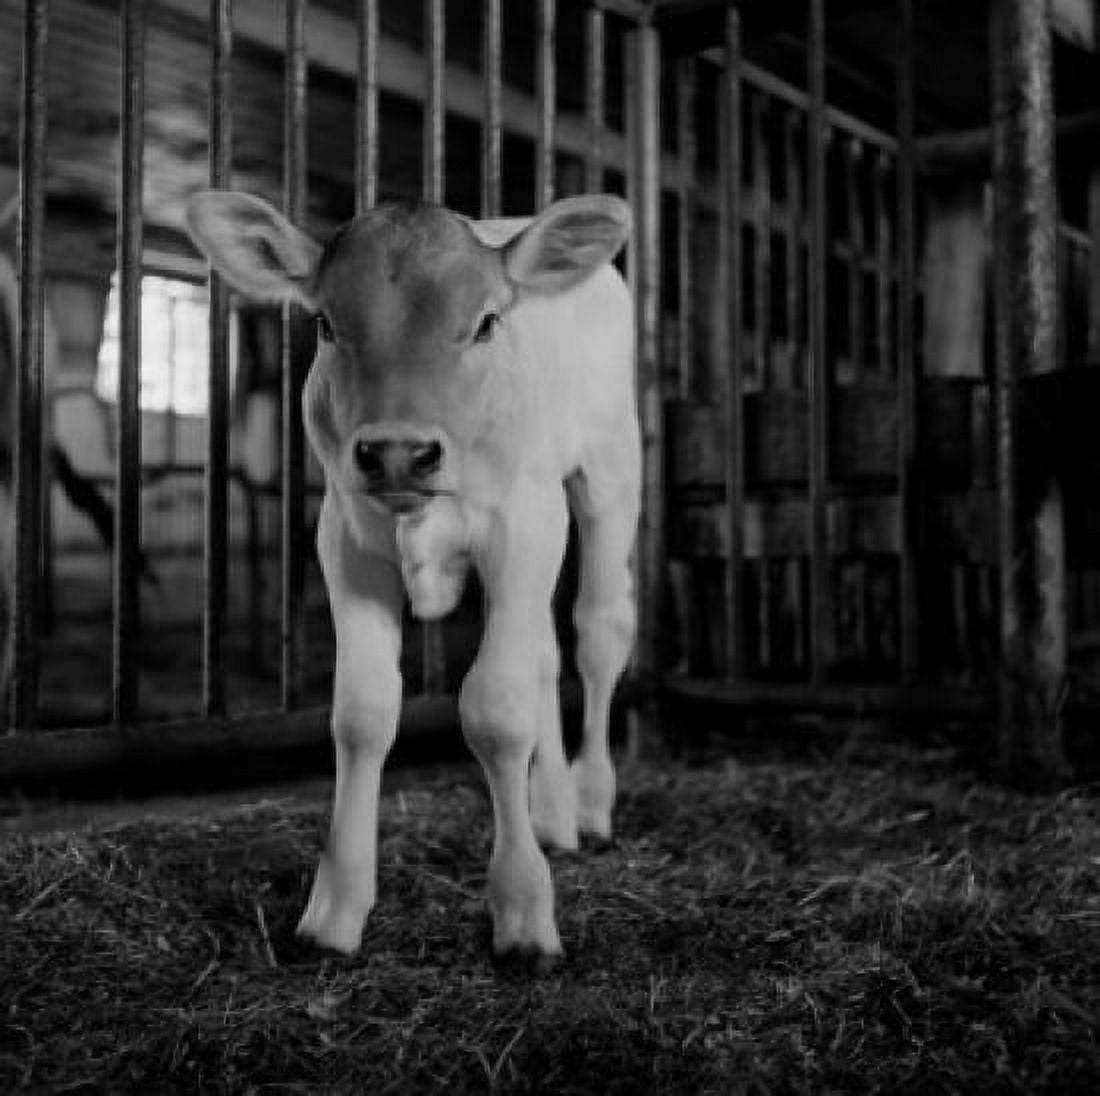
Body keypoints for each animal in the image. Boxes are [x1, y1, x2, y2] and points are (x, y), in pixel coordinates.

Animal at [185, 189, 640, 965]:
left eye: (485, 323)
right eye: (327, 323)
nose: (398, 452)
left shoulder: (522, 524)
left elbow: (496, 710)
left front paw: (523, 911)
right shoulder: (346, 538)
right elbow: (364, 713)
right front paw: (334, 909)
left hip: (609, 467)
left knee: (597, 634)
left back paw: (590, 803)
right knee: (545, 656)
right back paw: (551, 811)